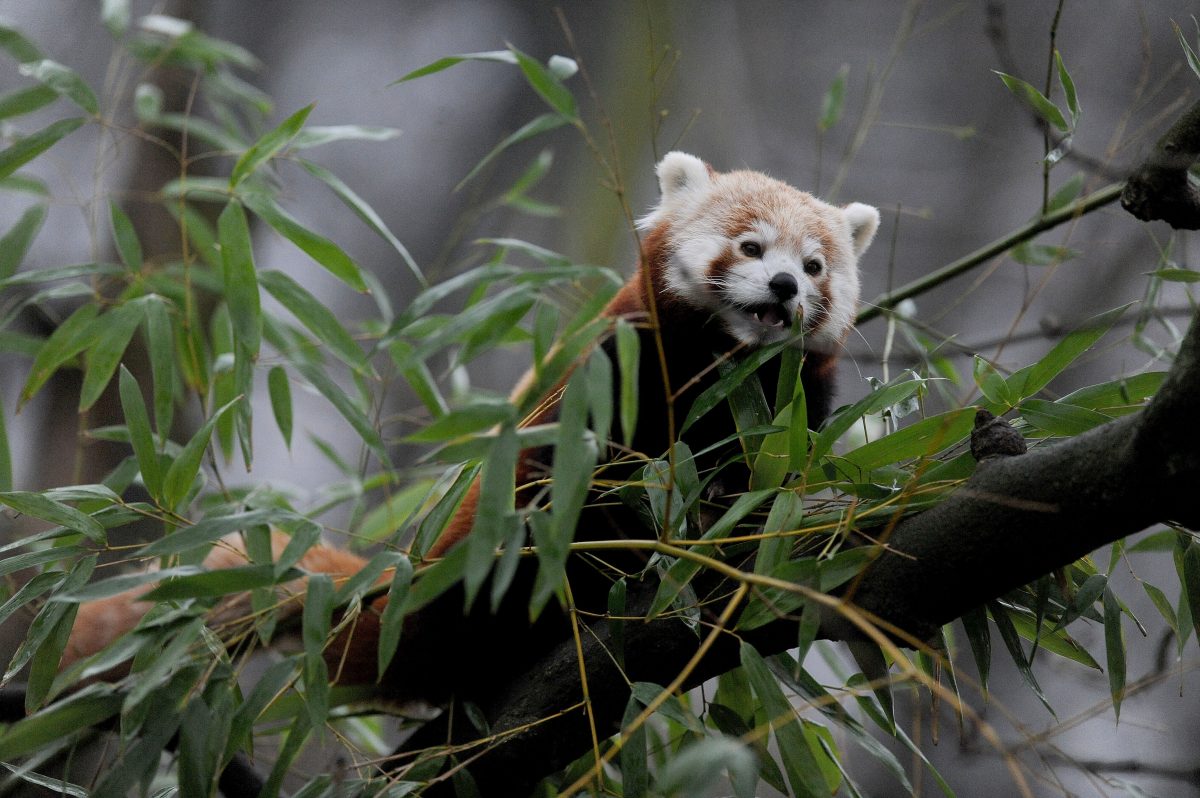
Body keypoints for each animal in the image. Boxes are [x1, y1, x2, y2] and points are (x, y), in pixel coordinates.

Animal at [58, 153, 883, 705]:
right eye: (751, 246)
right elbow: (593, 478)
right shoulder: (618, 369)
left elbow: (767, 476)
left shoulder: (792, 402)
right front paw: (648, 536)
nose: (784, 285)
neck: (728, 371)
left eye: (815, 266)